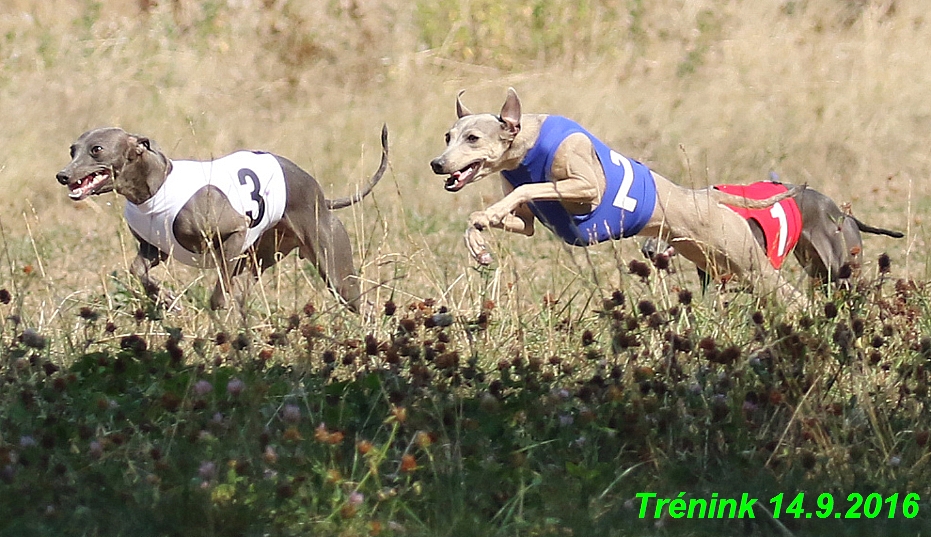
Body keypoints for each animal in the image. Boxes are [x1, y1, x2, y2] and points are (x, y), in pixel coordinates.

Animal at [57, 125, 386, 310]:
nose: (62, 175)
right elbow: (138, 271)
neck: (157, 186)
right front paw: (165, 300)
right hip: (260, 258)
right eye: (72, 150)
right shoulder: (154, 249)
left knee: (363, 301)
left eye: (97, 149)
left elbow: (218, 293)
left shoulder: (234, 234)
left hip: (333, 269)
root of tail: (321, 196)